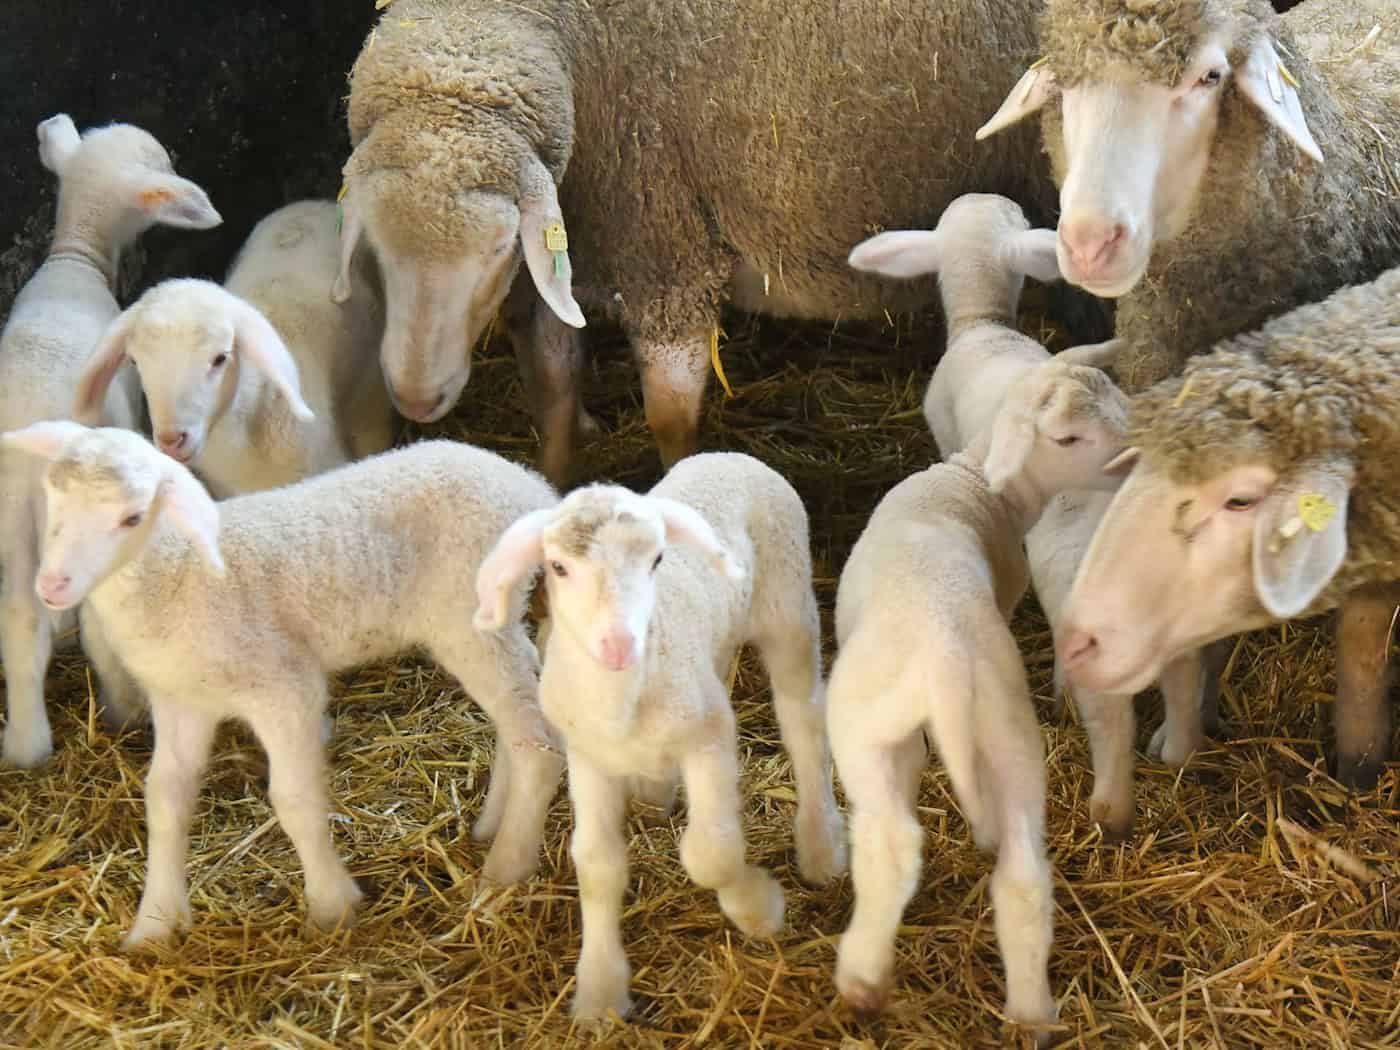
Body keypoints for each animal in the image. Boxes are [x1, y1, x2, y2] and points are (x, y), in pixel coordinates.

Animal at [0, 114, 220, 768]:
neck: (75, 255)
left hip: (12, 522)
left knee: (19, 624)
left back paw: (26, 745)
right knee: (92, 626)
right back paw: (121, 708)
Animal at [1, 423, 564, 946]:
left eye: (131, 517)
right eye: (53, 495)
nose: (51, 586)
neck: (181, 572)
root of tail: (532, 491)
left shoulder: (283, 687)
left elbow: (293, 799)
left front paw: (332, 905)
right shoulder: (183, 699)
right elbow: (165, 799)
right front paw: (156, 923)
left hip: (468, 624)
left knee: (538, 746)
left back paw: (505, 869)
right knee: (520, 719)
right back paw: (491, 825)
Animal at [335, 0, 1071, 484]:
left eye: (495, 248)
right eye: (376, 245)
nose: (415, 399)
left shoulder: (668, 255)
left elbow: (669, 421)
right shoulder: (561, 270)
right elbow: (553, 396)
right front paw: (551, 490)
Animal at [473, 452, 845, 1022]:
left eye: (657, 560)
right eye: (558, 567)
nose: (618, 644)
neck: (622, 702)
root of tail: (729, 454)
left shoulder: (710, 738)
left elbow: (711, 853)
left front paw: (759, 910)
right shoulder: (589, 759)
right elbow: (596, 865)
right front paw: (600, 994)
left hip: (789, 606)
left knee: (803, 724)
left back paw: (822, 847)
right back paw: (656, 794)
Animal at [822, 334, 1131, 1039]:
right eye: (1070, 436)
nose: (1136, 456)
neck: (970, 481)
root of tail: (947, 663)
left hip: (864, 732)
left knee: (892, 844)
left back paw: (862, 980)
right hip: (1009, 732)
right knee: (1022, 876)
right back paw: (1031, 1013)